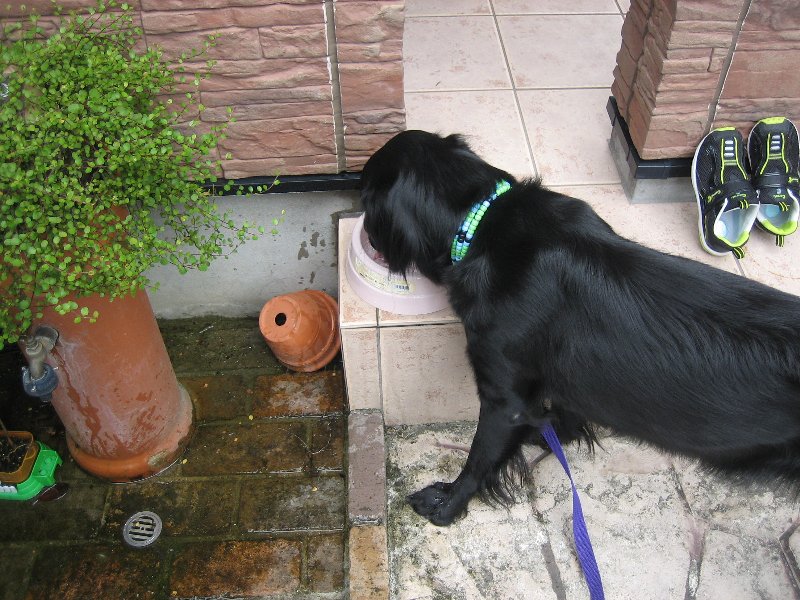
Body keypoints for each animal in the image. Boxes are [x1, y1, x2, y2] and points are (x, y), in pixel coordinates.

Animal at [360, 129, 800, 527]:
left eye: (364, 199)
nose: (363, 231)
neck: (485, 221)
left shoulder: (504, 396)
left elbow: (479, 459)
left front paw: (447, 504)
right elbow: (566, 412)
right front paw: (547, 430)